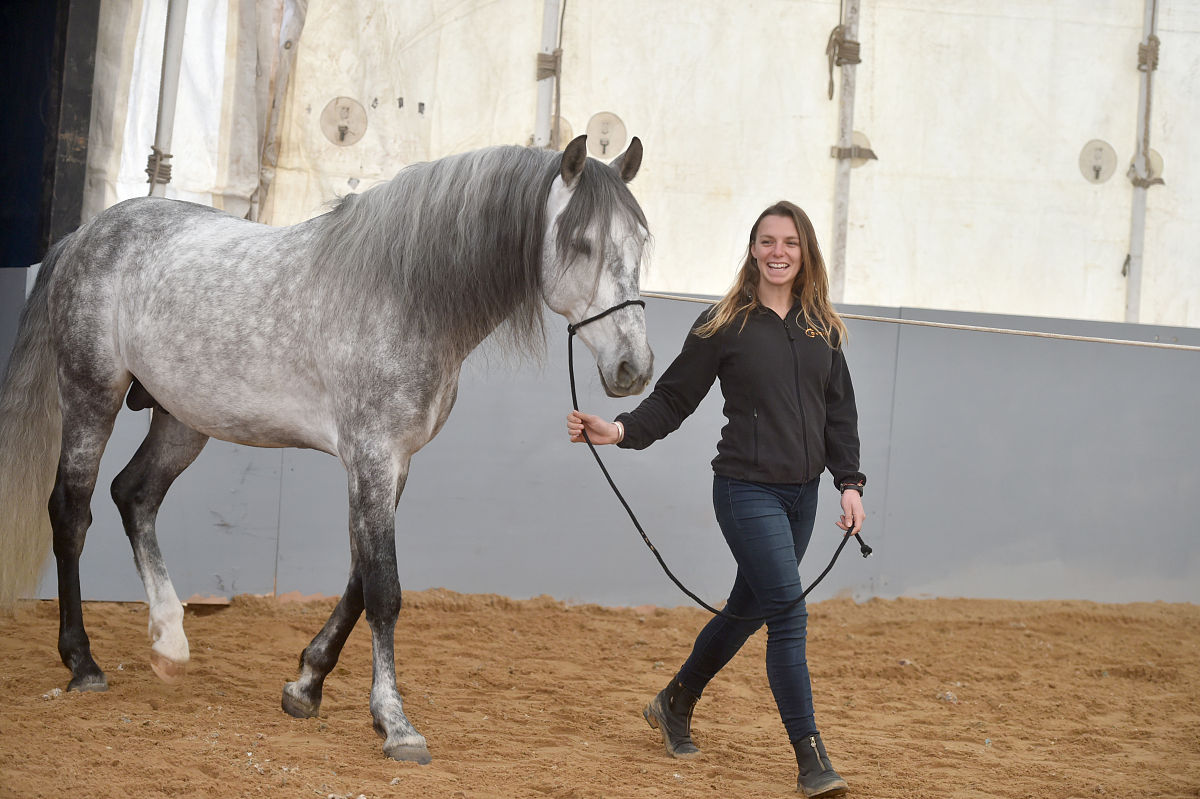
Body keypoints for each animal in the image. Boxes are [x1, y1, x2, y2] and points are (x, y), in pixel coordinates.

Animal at [0, 134, 654, 764]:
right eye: (582, 243)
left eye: (642, 241)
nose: (634, 368)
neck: (405, 295)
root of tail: (83, 235)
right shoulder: (371, 455)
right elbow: (385, 590)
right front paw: (395, 724)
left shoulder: (395, 463)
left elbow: (361, 578)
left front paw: (305, 685)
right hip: (90, 395)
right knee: (72, 513)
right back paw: (83, 663)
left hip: (183, 419)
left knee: (134, 496)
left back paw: (169, 643)